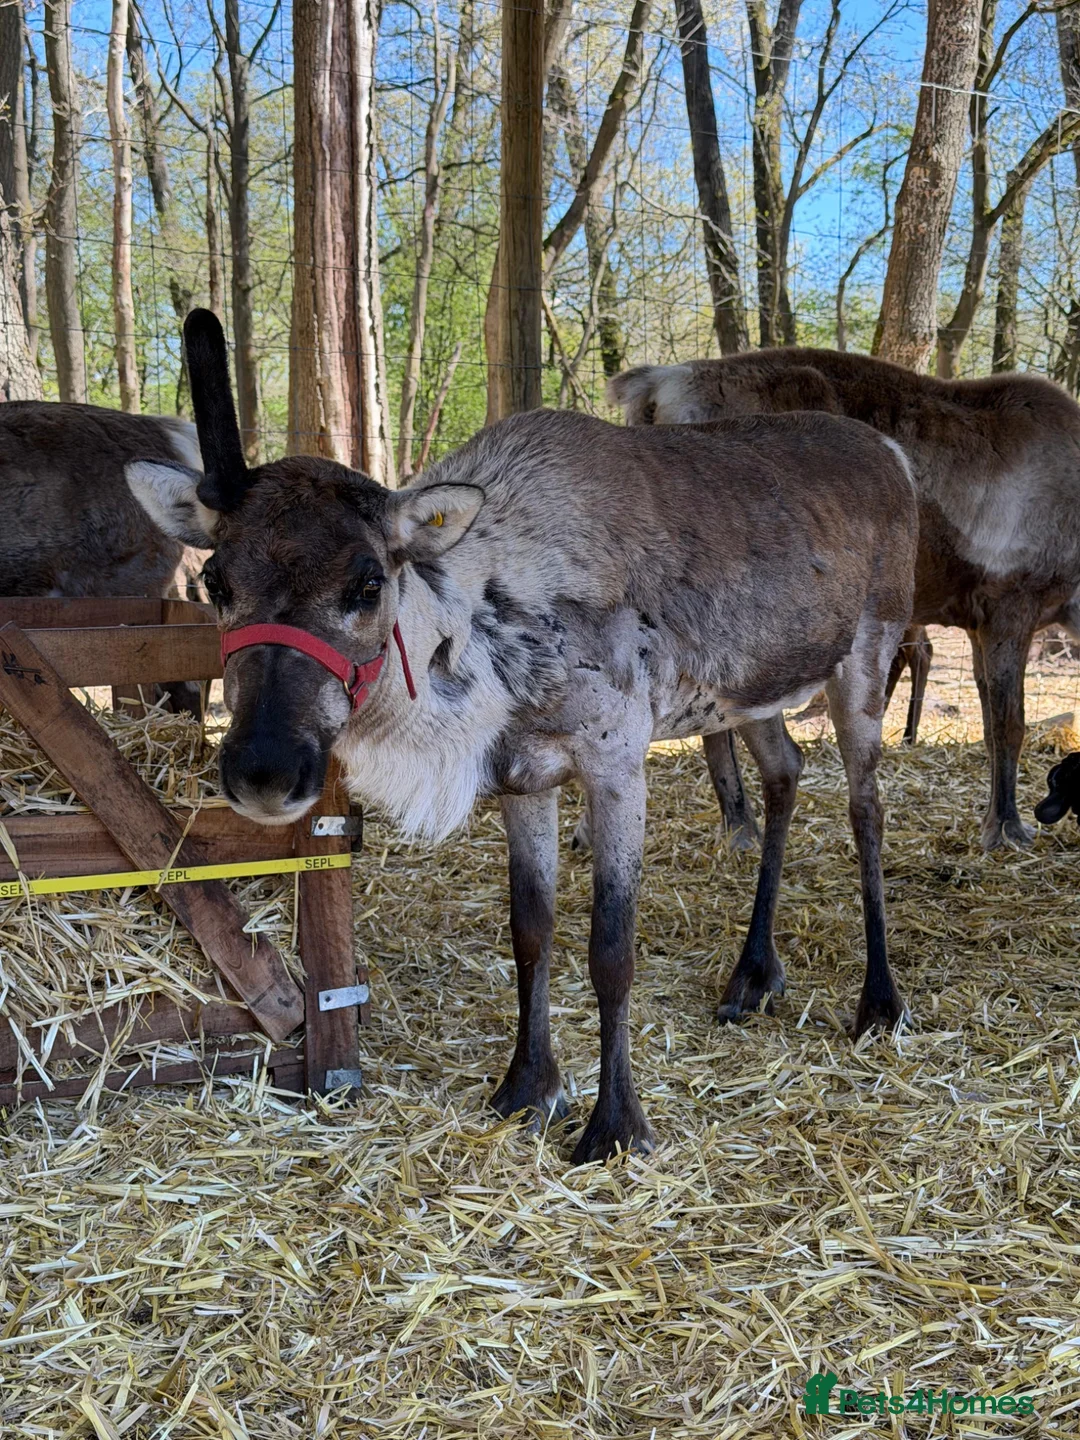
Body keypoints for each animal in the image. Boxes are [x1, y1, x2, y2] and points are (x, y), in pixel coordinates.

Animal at [127, 310, 918, 1161]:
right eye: (216, 580)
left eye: (367, 581)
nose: (265, 769)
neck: (492, 638)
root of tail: (896, 455)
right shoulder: (521, 775)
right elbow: (530, 930)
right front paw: (528, 1087)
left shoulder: (616, 759)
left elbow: (611, 948)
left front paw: (615, 1124)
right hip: (756, 691)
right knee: (785, 771)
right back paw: (754, 975)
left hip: (867, 656)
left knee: (866, 809)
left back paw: (879, 1000)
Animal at [610, 349, 1080, 851]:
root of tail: (655, 386)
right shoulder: (1010, 605)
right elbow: (1010, 726)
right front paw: (1006, 826)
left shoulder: (978, 622)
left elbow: (992, 723)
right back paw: (740, 827)